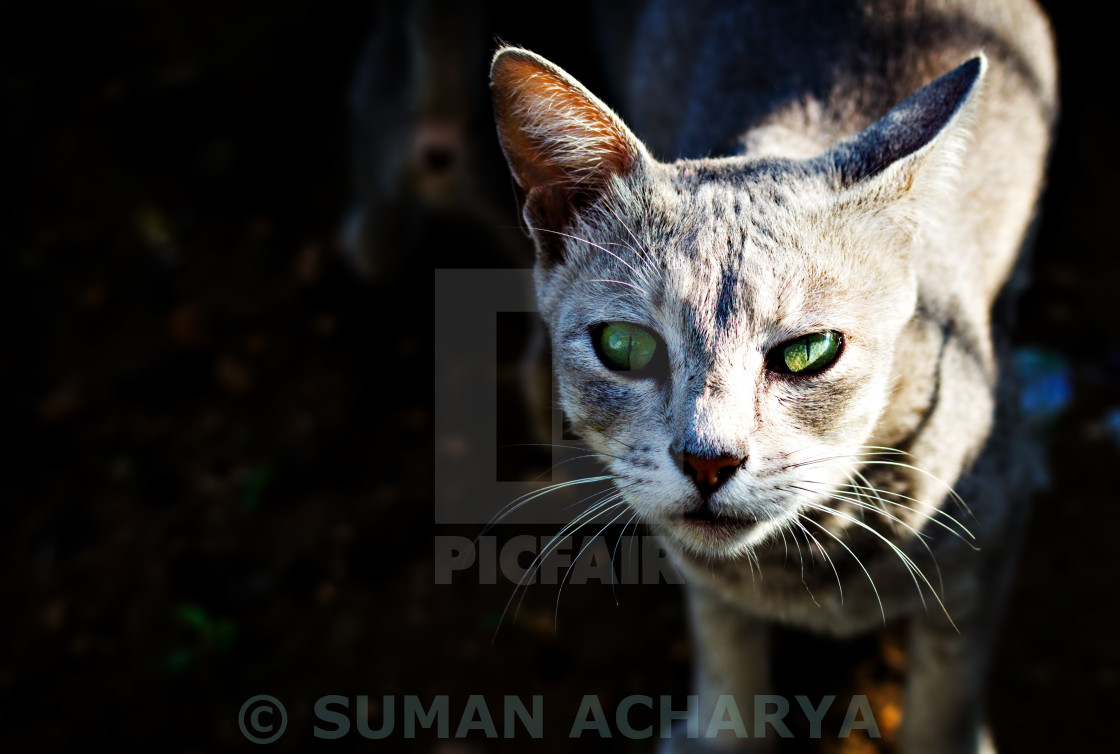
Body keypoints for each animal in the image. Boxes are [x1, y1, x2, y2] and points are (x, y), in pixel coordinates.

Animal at [486, 1, 1052, 752]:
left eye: (810, 351)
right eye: (625, 346)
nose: (708, 460)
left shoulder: (989, 548)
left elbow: (945, 695)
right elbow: (727, 654)